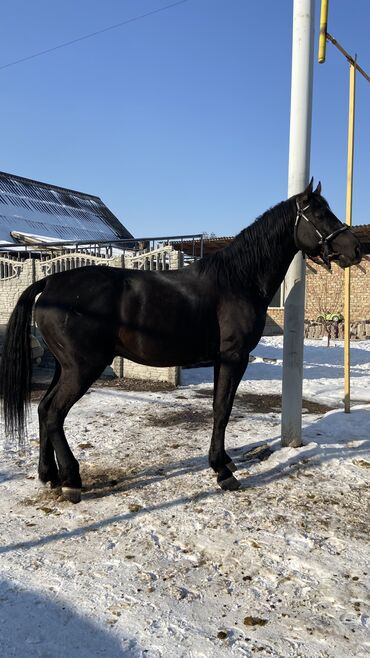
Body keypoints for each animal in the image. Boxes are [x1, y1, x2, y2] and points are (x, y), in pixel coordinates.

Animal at [0, 178, 362, 498]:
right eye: (320, 214)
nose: (355, 249)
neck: (237, 280)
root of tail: (50, 284)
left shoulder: (222, 360)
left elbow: (220, 407)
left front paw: (224, 461)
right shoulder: (234, 357)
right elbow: (222, 409)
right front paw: (222, 471)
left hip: (65, 367)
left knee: (43, 409)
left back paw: (49, 475)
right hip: (82, 368)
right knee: (53, 413)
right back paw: (72, 480)